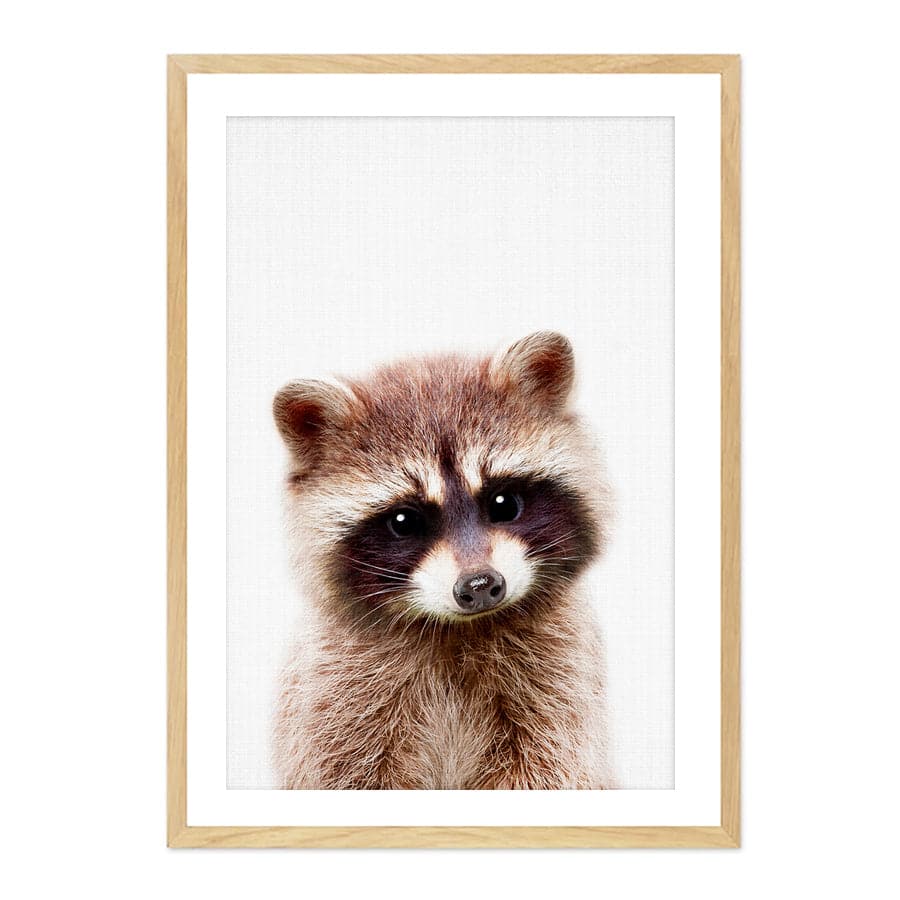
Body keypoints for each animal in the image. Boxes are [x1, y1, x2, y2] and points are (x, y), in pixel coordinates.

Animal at [272, 331, 615, 789]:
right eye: (404, 521)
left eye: (504, 503)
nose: (480, 585)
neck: (457, 630)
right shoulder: (334, 695)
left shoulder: (560, 680)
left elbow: (550, 764)